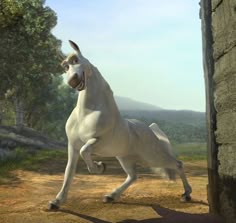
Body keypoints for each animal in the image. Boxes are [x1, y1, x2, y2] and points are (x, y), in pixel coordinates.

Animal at [48, 40, 193, 209]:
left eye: (77, 60)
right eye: (65, 66)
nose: (73, 81)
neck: (86, 114)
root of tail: (148, 129)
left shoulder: (98, 141)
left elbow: (85, 151)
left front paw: (99, 167)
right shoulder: (73, 146)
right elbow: (69, 172)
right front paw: (56, 202)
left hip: (152, 156)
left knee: (177, 164)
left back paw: (186, 194)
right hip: (125, 157)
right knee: (133, 176)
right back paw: (110, 196)